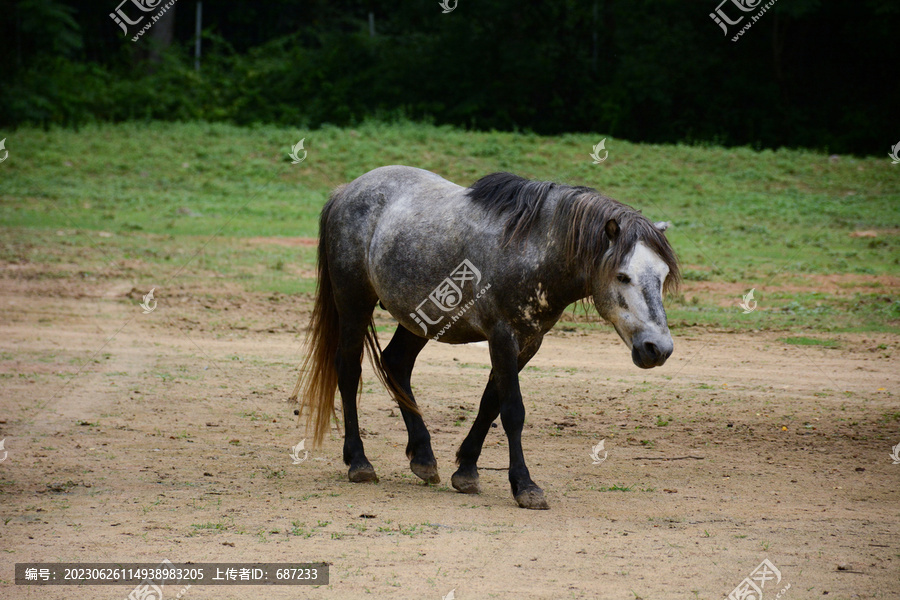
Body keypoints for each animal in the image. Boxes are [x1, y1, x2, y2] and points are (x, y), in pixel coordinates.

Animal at [292, 166, 680, 508]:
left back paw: (423, 458)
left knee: (396, 364)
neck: (533, 247)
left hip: (422, 318)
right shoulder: (502, 336)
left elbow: (490, 403)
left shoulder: (528, 343)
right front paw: (525, 486)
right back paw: (359, 462)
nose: (657, 349)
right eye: (623, 276)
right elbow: (513, 411)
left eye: (662, 276)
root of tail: (346, 191)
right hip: (354, 304)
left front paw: (466, 470)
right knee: (349, 370)